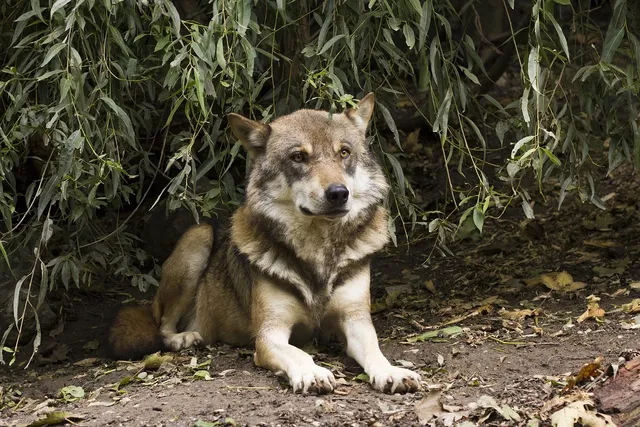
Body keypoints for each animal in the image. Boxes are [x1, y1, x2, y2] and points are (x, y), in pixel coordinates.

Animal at [108, 94, 422, 394]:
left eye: (344, 152)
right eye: (298, 157)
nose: (338, 193)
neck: (317, 252)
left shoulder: (356, 320)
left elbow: (374, 350)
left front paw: (392, 372)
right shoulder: (269, 334)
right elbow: (299, 354)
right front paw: (312, 373)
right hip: (199, 238)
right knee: (161, 325)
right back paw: (182, 338)